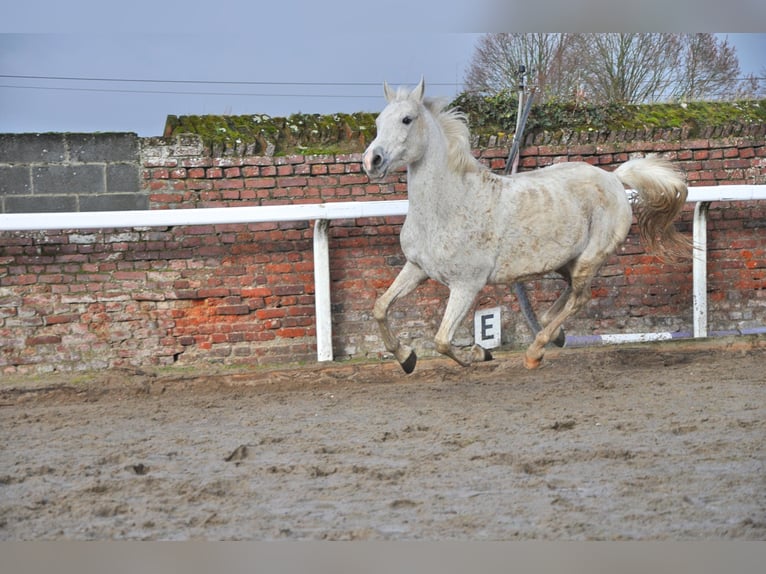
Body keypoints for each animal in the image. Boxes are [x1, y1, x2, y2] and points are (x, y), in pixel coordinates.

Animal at [364, 80, 692, 374]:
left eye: (407, 119)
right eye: (378, 121)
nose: (371, 160)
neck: (449, 206)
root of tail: (613, 177)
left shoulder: (466, 284)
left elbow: (441, 340)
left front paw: (478, 354)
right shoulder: (417, 267)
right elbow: (380, 307)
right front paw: (406, 358)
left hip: (591, 257)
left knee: (580, 297)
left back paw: (535, 351)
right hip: (566, 261)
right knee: (572, 295)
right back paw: (554, 334)